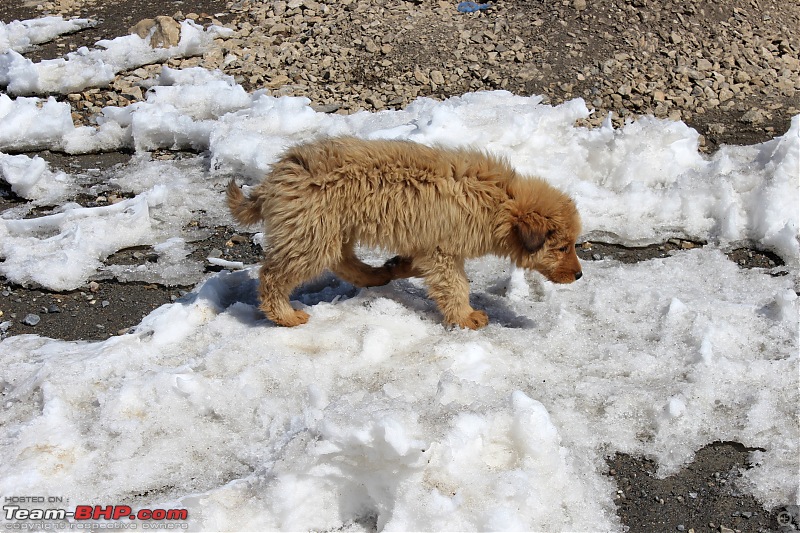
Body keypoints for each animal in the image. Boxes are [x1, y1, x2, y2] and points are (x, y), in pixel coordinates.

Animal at [225, 136, 580, 328]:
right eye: (563, 247)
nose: (578, 275)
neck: (497, 200)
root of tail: (275, 178)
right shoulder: (443, 250)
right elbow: (455, 285)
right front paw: (466, 317)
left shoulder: (431, 244)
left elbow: (421, 264)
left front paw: (400, 265)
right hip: (311, 233)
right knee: (273, 275)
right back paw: (284, 315)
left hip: (330, 228)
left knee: (342, 259)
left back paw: (377, 274)